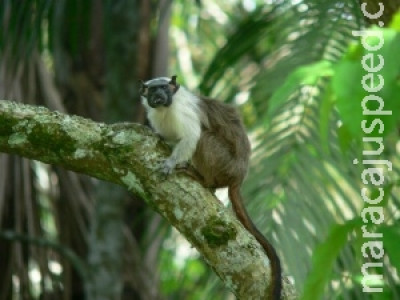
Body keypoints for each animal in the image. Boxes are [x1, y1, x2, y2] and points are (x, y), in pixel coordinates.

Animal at [139, 75, 282, 300]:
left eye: (164, 88)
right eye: (153, 90)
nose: (159, 96)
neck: (165, 109)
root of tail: (238, 175)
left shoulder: (182, 111)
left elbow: (191, 137)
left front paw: (170, 163)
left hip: (223, 162)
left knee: (204, 137)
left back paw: (204, 180)